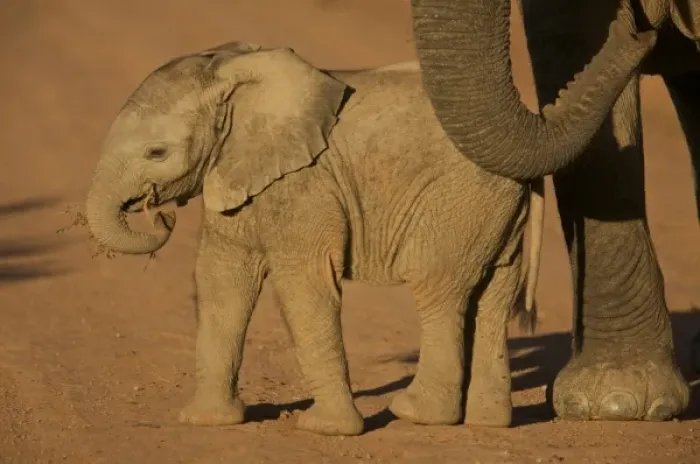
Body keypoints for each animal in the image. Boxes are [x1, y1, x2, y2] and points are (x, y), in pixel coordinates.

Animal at [84, 30, 652, 436]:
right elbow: (221, 282)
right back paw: (487, 424)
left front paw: (325, 430)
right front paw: (204, 422)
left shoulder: (306, 184)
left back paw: (415, 413)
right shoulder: (237, 177)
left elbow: (304, 285)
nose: (154, 213)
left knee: (439, 288)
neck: (237, 78)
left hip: (457, 200)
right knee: (492, 296)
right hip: (497, 208)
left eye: (156, 152)